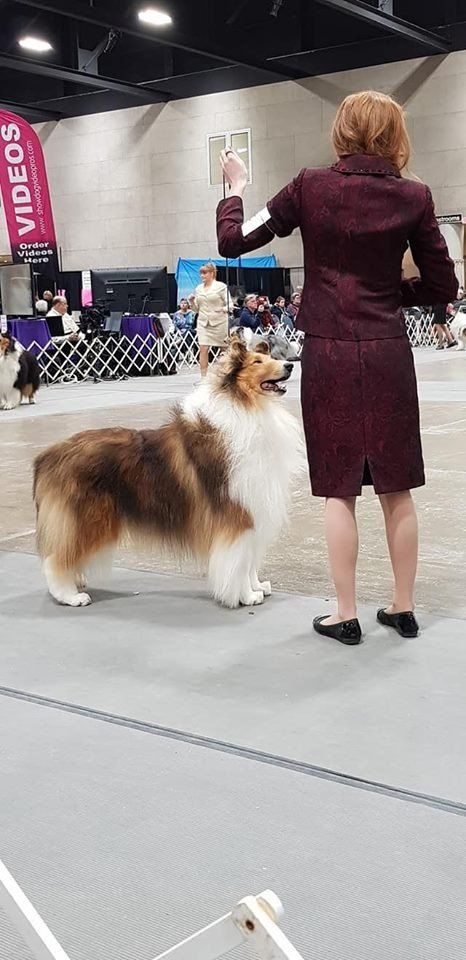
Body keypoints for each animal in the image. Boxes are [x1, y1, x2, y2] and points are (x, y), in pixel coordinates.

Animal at [33, 337, 304, 608]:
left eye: (272, 357)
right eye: (257, 362)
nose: (290, 365)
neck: (249, 406)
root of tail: (49, 455)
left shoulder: (254, 507)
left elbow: (249, 561)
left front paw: (257, 587)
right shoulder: (236, 513)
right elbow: (238, 562)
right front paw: (246, 596)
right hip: (87, 520)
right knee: (55, 559)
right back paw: (70, 596)